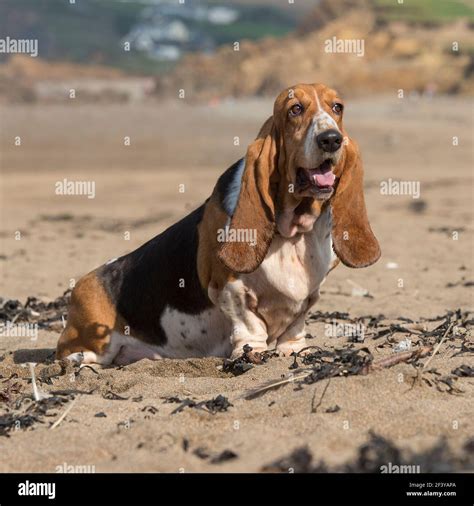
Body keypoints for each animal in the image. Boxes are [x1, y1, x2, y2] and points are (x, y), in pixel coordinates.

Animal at [56, 85, 382, 366]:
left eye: (337, 107)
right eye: (295, 109)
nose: (331, 139)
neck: (294, 231)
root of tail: (84, 282)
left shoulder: (310, 295)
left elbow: (296, 322)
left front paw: (293, 350)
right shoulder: (228, 286)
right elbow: (249, 324)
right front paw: (253, 352)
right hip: (96, 339)